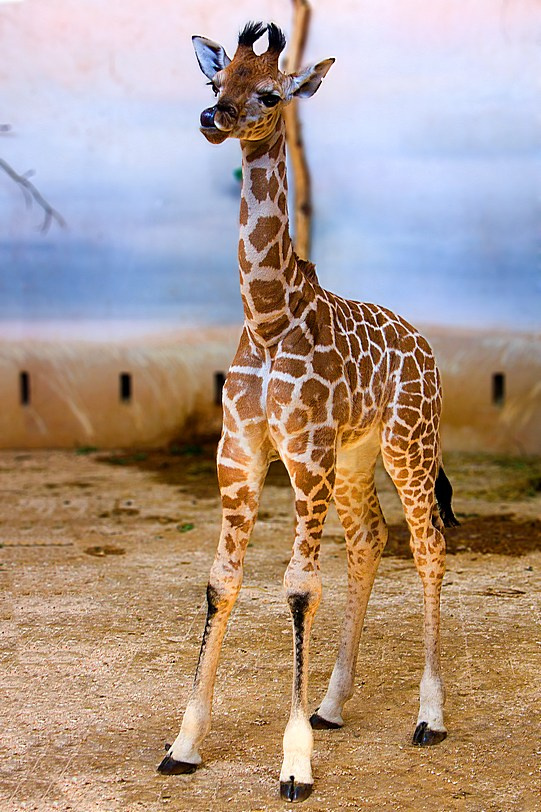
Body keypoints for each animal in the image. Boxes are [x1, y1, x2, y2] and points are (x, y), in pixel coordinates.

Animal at [157, 21, 458, 803]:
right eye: (215, 81)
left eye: (268, 93)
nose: (212, 118)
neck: (267, 317)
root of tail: (424, 345)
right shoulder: (239, 457)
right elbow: (221, 581)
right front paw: (184, 744)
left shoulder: (303, 455)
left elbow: (296, 588)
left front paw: (294, 765)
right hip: (354, 460)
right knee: (370, 539)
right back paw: (330, 703)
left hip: (408, 445)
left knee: (426, 545)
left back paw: (429, 716)